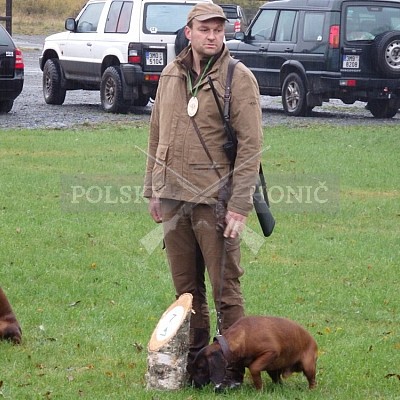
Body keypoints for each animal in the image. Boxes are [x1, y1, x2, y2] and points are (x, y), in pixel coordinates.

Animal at [189, 318, 318, 390]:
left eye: (200, 368)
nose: (193, 385)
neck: (243, 336)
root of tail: (313, 341)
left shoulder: (271, 352)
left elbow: (254, 368)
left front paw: (259, 390)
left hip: (308, 367)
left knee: (312, 381)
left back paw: (311, 390)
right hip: (273, 370)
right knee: (278, 381)